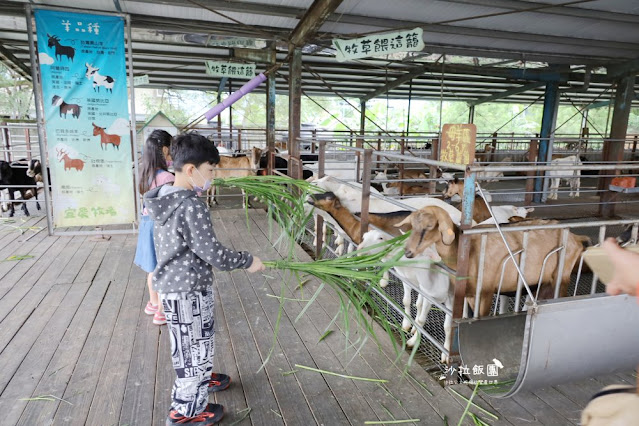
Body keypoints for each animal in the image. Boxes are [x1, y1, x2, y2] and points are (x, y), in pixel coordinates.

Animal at [360, 230, 456, 360]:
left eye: (380, 238)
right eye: (364, 236)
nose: (360, 249)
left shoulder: (449, 299)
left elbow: (447, 326)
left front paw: (446, 352)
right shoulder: (407, 280)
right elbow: (407, 301)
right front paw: (407, 324)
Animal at [400, 205, 592, 318]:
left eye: (429, 226)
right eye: (413, 226)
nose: (408, 252)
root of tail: (576, 238)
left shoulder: (485, 292)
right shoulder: (470, 294)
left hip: (561, 278)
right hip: (543, 283)